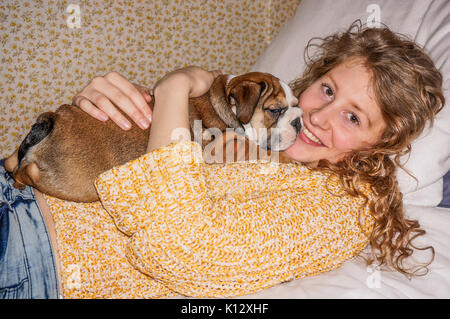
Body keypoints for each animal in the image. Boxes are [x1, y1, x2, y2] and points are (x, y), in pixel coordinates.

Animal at [6, 72, 302, 202]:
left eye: (296, 104)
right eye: (275, 110)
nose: (299, 121)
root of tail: (51, 122)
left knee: (11, 161)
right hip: (82, 184)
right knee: (27, 171)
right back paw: (20, 180)